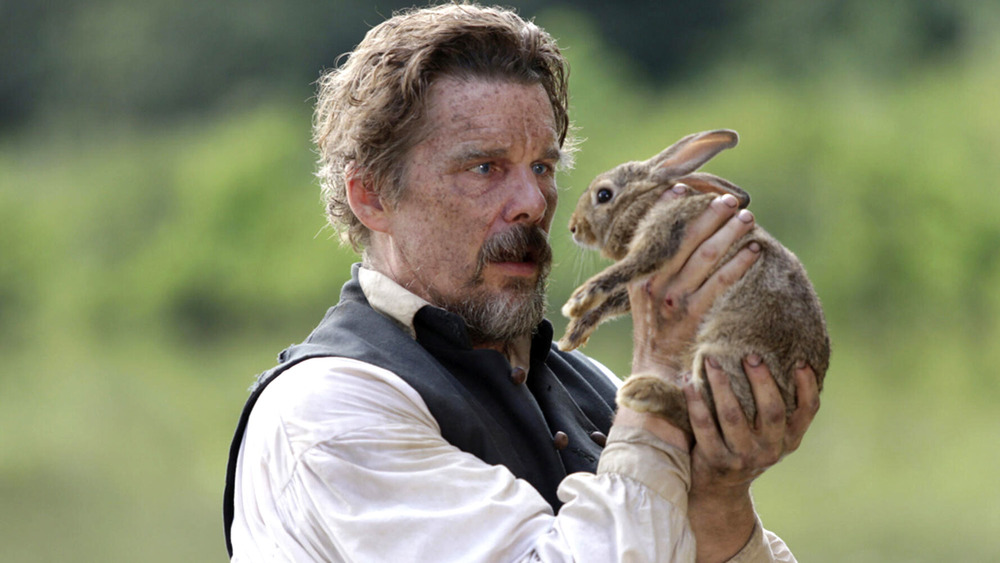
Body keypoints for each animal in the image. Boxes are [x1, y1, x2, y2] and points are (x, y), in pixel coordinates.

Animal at [560, 130, 832, 438]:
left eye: (603, 195)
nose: (574, 228)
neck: (647, 201)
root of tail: (790, 404)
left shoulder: (665, 230)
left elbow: (626, 268)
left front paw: (577, 301)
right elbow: (613, 301)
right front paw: (573, 334)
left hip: (724, 357)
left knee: (706, 414)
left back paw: (644, 391)